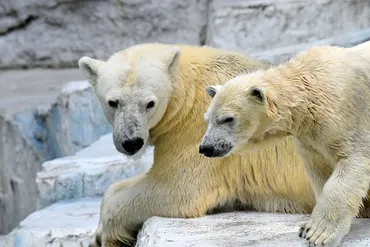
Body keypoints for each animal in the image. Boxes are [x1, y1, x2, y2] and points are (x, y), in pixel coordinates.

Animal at [78, 43, 316, 246]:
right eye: (113, 102)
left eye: (149, 103)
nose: (131, 142)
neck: (188, 92)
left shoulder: (202, 134)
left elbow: (177, 189)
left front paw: (109, 237)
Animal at [201, 41, 370, 246]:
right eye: (208, 118)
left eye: (228, 119)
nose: (206, 147)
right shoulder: (309, 136)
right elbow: (320, 170)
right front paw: (306, 228)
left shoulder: (348, 113)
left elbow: (353, 159)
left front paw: (319, 234)